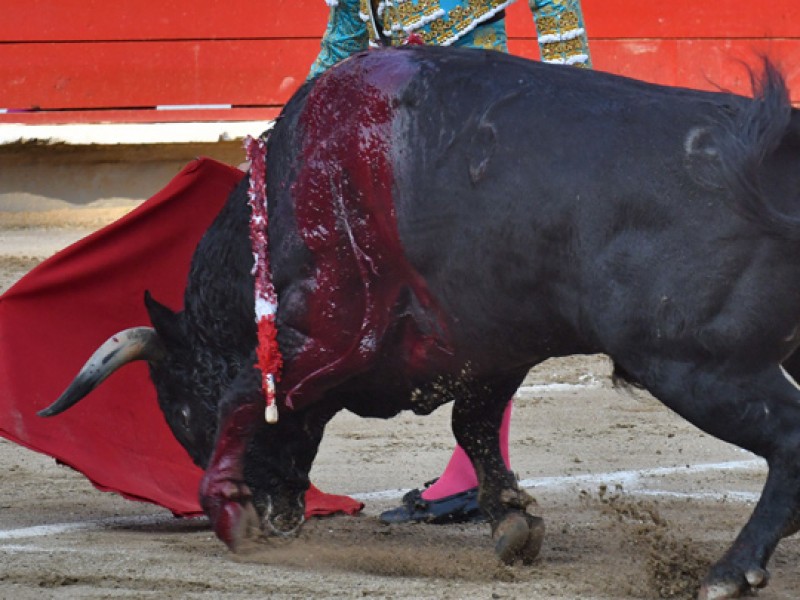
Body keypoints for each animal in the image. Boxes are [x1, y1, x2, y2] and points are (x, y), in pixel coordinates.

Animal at [42, 44, 800, 596]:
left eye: (179, 413)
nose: (280, 515)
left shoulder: (325, 335)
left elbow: (244, 395)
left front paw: (229, 511)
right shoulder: (488, 346)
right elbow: (474, 425)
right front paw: (512, 520)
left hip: (698, 365)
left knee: (788, 438)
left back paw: (730, 572)